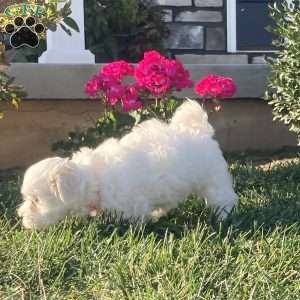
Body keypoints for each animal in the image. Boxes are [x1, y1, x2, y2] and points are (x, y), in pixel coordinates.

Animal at [18, 101, 237, 230]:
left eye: (36, 200)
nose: (21, 216)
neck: (95, 179)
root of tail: (200, 132)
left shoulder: (132, 203)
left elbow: (133, 221)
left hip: (213, 178)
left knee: (223, 197)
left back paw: (222, 217)